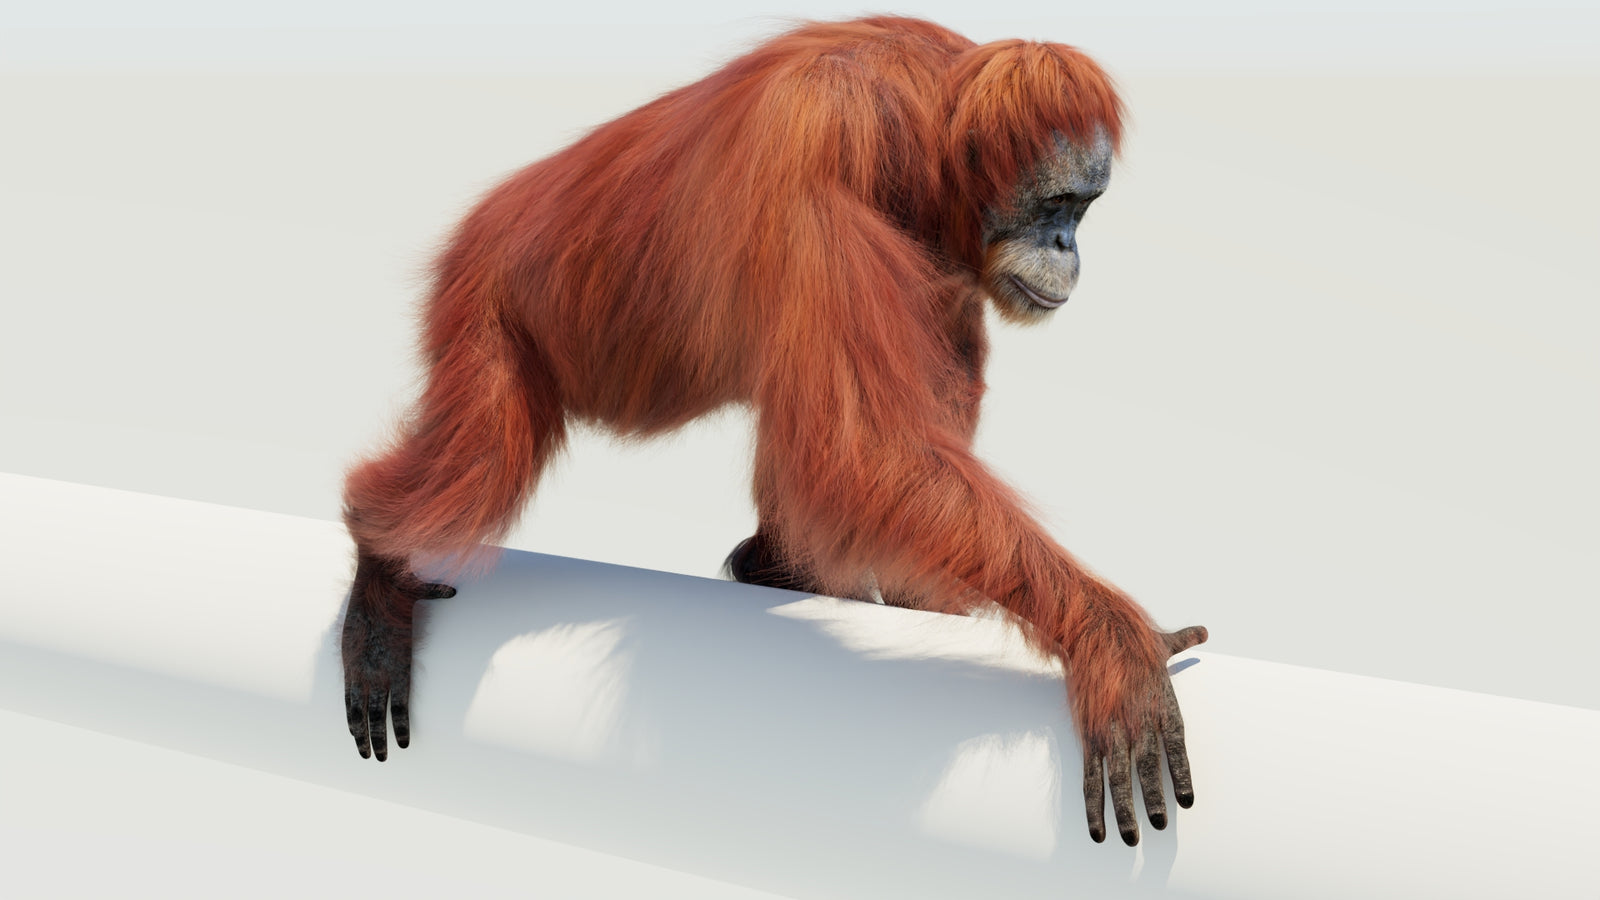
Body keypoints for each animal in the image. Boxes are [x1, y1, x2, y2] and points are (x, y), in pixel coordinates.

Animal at [340, 16, 1207, 847]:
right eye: (1057, 206)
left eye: (1083, 209)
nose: (1068, 246)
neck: (923, 123)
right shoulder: (819, 148)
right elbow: (860, 447)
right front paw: (1112, 644)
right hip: (483, 299)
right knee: (480, 462)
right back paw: (382, 565)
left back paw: (776, 566)